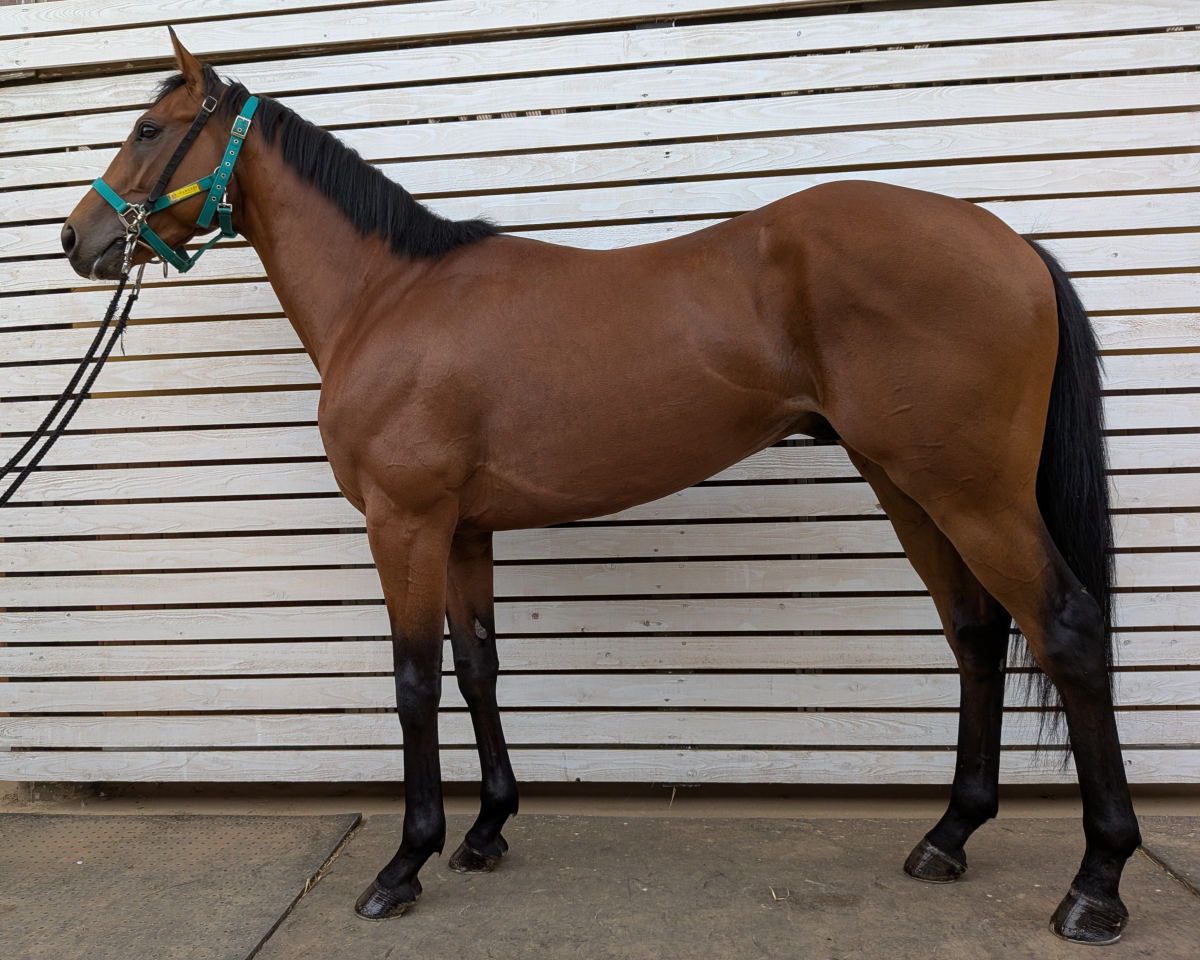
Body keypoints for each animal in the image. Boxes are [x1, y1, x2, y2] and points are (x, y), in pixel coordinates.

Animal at [60, 32, 1140, 945]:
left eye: (148, 130)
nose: (75, 240)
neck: (391, 297)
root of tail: (1005, 240)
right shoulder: (463, 530)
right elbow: (478, 667)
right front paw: (486, 831)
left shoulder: (405, 524)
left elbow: (414, 682)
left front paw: (405, 863)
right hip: (910, 484)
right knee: (977, 633)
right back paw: (948, 837)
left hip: (971, 491)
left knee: (1065, 627)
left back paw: (1096, 884)